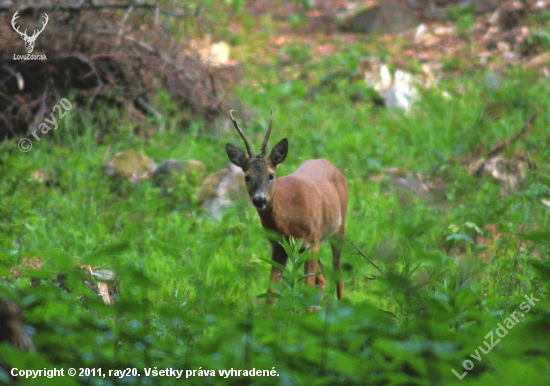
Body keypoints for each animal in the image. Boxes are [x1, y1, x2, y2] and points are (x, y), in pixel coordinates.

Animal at [225, 108, 350, 304]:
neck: (288, 221)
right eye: (246, 176)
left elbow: (306, 289)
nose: (260, 200)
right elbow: (271, 293)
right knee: (322, 280)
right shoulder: (278, 247)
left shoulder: (311, 240)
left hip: (338, 229)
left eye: (271, 175)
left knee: (338, 275)